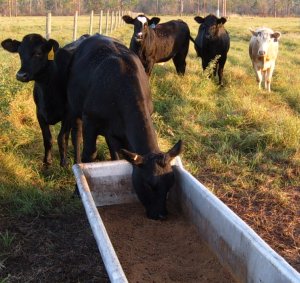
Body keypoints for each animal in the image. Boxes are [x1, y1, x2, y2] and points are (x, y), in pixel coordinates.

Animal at [0, 33, 88, 166]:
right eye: (20, 53)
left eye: (38, 53)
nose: (20, 75)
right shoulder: (39, 113)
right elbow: (48, 138)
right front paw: (47, 162)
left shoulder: (68, 114)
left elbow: (61, 138)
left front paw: (64, 163)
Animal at [67, 33, 182, 220]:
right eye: (148, 184)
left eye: (171, 184)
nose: (160, 215)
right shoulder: (90, 120)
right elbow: (89, 154)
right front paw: (78, 190)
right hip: (74, 109)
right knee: (76, 136)